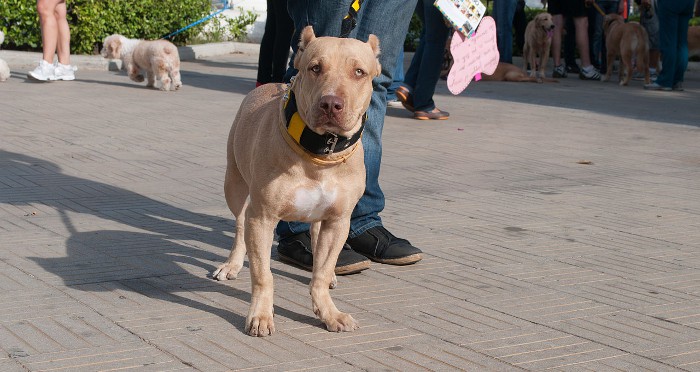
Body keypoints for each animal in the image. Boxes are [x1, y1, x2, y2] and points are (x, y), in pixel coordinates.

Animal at [212, 26, 380, 338]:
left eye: (359, 72)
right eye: (315, 68)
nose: (331, 103)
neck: (319, 154)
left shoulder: (338, 221)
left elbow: (321, 273)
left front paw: (329, 312)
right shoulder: (262, 218)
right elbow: (263, 275)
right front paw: (260, 316)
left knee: (315, 237)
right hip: (235, 186)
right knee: (239, 224)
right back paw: (232, 264)